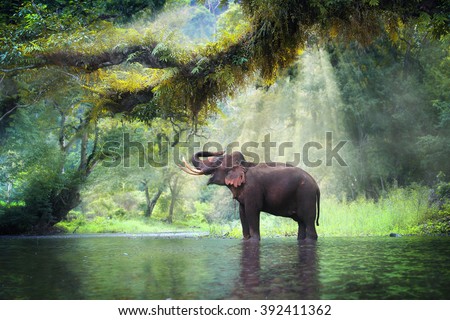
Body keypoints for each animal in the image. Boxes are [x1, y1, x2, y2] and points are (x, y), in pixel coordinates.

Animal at [179, 151, 320, 240]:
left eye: (217, 163)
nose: (220, 151)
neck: (243, 165)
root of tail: (316, 186)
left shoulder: (253, 189)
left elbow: (252, 211)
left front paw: (254, 239)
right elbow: (242, 213)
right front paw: (246, 239)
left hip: (306, 195)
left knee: (309, 222)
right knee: (301, 223)